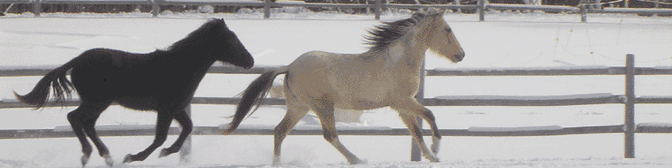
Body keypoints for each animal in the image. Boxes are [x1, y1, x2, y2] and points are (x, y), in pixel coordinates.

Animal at [13, 18, 255, 167]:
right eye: (232, 40)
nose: (250, 61)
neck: (179, 68)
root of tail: (78, 60)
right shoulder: (166, 109)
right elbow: (160, 137)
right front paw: (133, 157)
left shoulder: (177, 109)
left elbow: (187, 128)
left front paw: (167, 152)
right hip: (96, 102)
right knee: (74, 118)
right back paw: (88, 154)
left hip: (98, 103)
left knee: (87, 124)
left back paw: (107, 157)